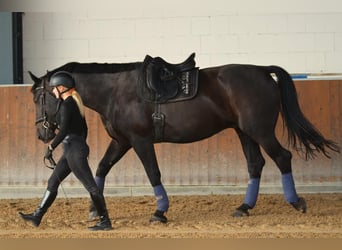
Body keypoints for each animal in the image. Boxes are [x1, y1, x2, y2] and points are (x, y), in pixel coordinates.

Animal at [29, 54, 340, 223]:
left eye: (38, 97)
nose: (42, 133)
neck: (116, 91)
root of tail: (262, 70)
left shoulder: (140, 141)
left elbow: (153, 173)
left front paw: (160, 212)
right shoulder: (122, 141)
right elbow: (101, 169)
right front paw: (95, 210)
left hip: (260, 131)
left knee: (282, 157)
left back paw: (296, 202)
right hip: (245, 132)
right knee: (256, 165)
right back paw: (244, 207)